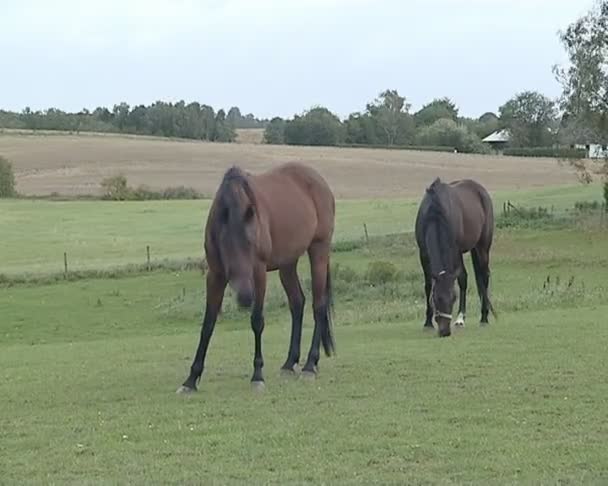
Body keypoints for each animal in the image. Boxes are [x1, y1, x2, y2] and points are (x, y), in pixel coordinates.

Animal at [176, 161, 338, 392]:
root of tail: (320, 181)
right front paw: (191, 380)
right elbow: (208, 325)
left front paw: (257, 375)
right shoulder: (215, 275)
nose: (245, 297)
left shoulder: (259, 272)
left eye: (252, 243)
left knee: (319, 306)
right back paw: (289, 363)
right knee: (298, 303)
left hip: (319, 250)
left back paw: (309, 365)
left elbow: (257, 321)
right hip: (287, 264)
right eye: (225, 245)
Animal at [416, 178, 496, 338]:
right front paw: (427, 322)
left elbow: (462, 279)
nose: (445, 332)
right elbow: (428, 285)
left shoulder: (454, 251)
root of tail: (480, 189)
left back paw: (482, 317)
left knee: (484, 277)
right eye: (436, 298)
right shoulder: (423, 254)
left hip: (482, 247)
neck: (434, 214)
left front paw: (460, 318)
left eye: (454, 298)